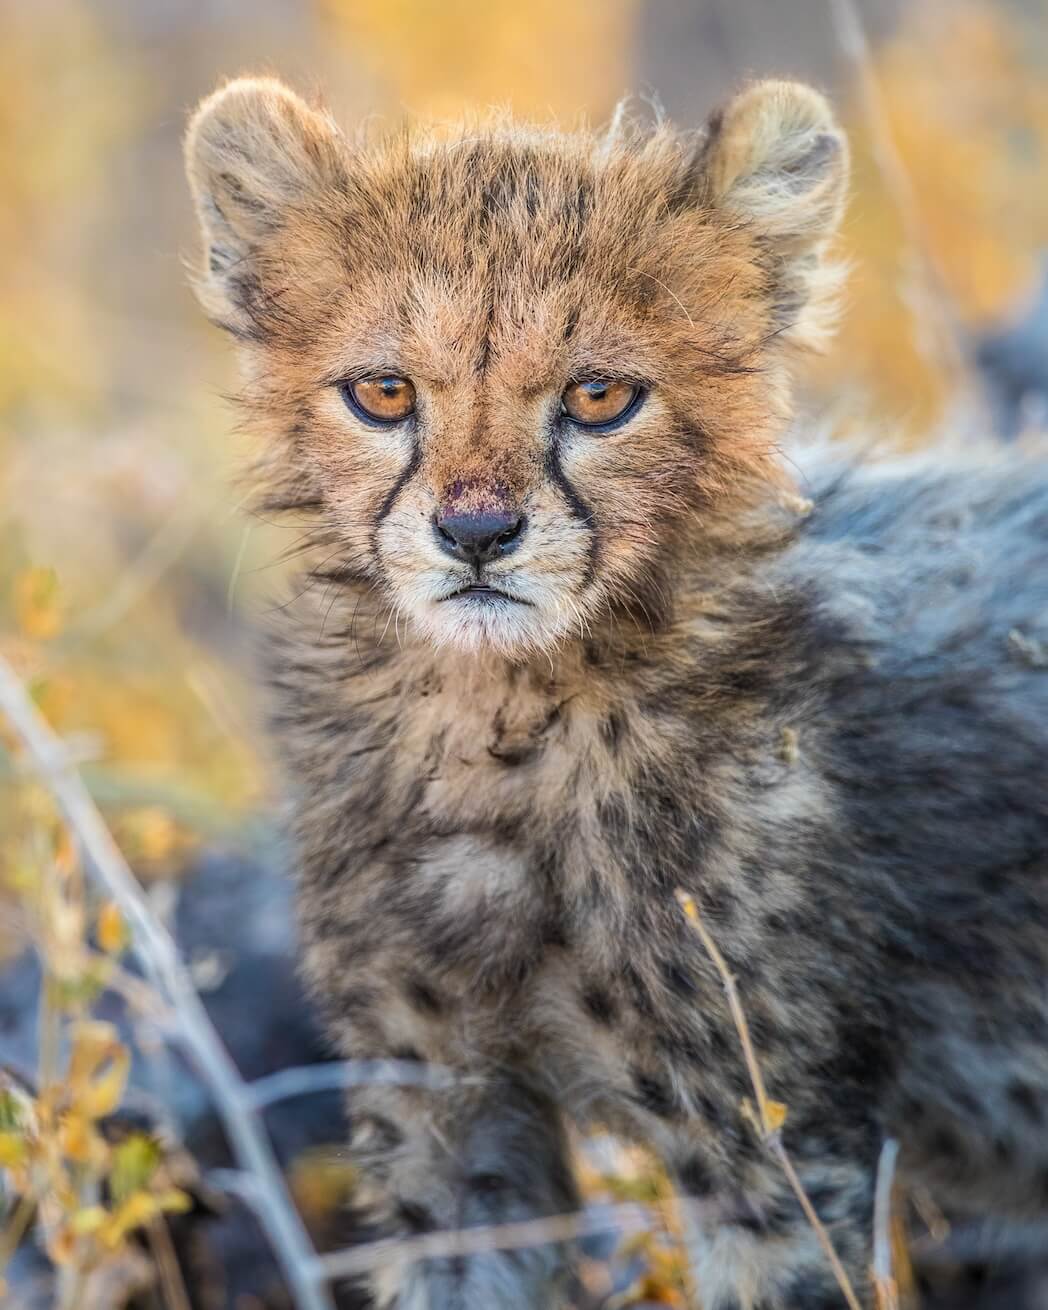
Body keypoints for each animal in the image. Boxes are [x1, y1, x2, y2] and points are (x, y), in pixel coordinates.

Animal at [184, 74, 1048, 1310]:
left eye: (598, 396)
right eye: (384, 391)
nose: (477, 532)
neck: (501, 718)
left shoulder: (761, 1144)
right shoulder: (444, 1103)